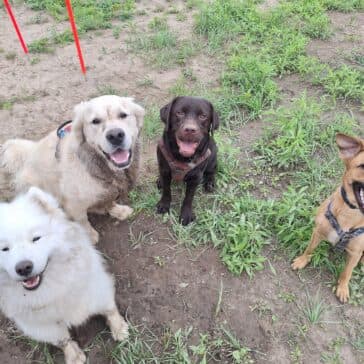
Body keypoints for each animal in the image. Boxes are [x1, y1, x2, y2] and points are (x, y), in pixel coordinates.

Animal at [0, 188, 128, 364]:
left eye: (36, 238)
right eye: (4, 249)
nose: (23, 267)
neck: (50, 288)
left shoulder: (96, 289)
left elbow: (109, 309)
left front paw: (119, 328)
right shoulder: (41, 325)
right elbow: (62, 340)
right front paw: (73, 355)